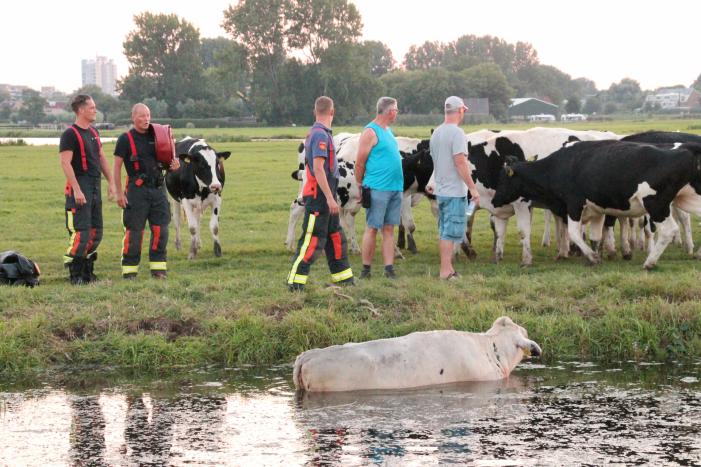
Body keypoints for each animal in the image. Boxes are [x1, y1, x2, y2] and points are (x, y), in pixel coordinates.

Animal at [492, 139, 701, 269]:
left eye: (503, 178)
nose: (494, 201)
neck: (558, 166)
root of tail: (686, 149)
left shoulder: (574, 204)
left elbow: (574, 233)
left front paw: (592, 257)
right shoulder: (597, 210)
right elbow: (595, 236)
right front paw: (595, 254)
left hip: (656, 204)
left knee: (669, 230)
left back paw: (650, 262)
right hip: (689, 198)